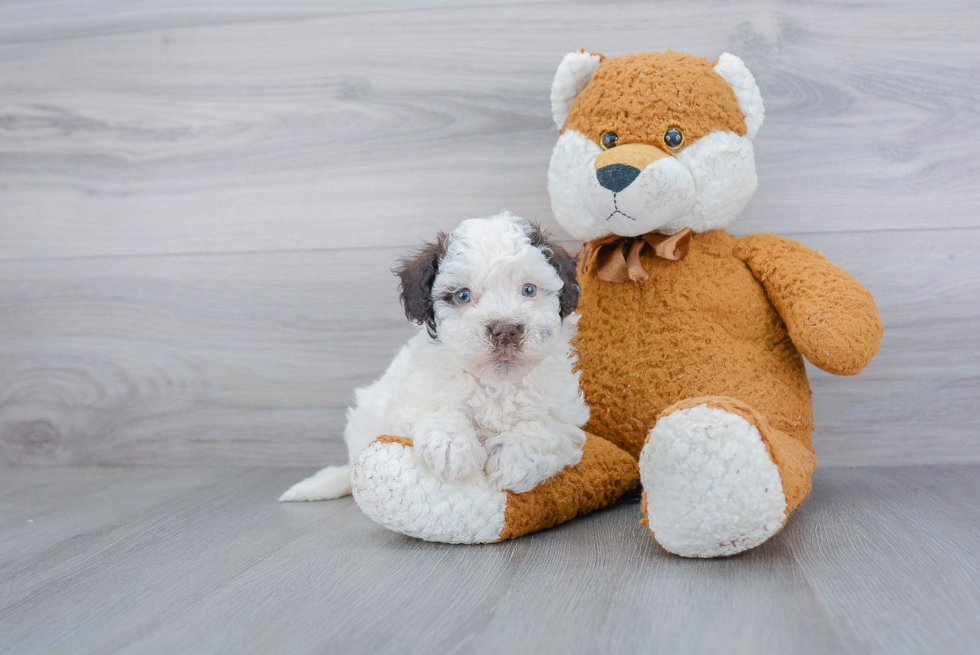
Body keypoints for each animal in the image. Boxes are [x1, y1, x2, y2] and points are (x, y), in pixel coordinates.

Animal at [284, 211, 588, 502]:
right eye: (463, 295)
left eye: (529, 289)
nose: (505, 330)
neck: (496, 384)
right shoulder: (420, 393)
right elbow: (440, 410)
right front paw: (452, 446)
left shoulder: (563, 412)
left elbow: (545, 428)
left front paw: (516, 457)